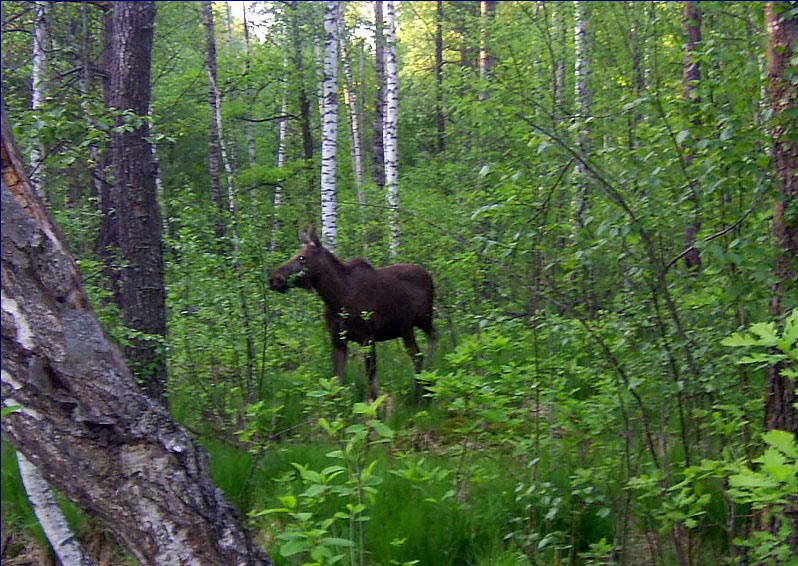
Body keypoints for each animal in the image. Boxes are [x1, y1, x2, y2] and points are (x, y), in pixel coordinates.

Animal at [274, 227, 438, 404]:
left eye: (302, 257)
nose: (274, 279)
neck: (337, 299)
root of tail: (428, 275)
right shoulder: (337, 339)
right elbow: (337, 381)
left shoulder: (368, 338)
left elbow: (372, 383)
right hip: (407, 328)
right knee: (420, 352)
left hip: (421, 320)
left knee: (429, 342)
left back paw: (428, 383)